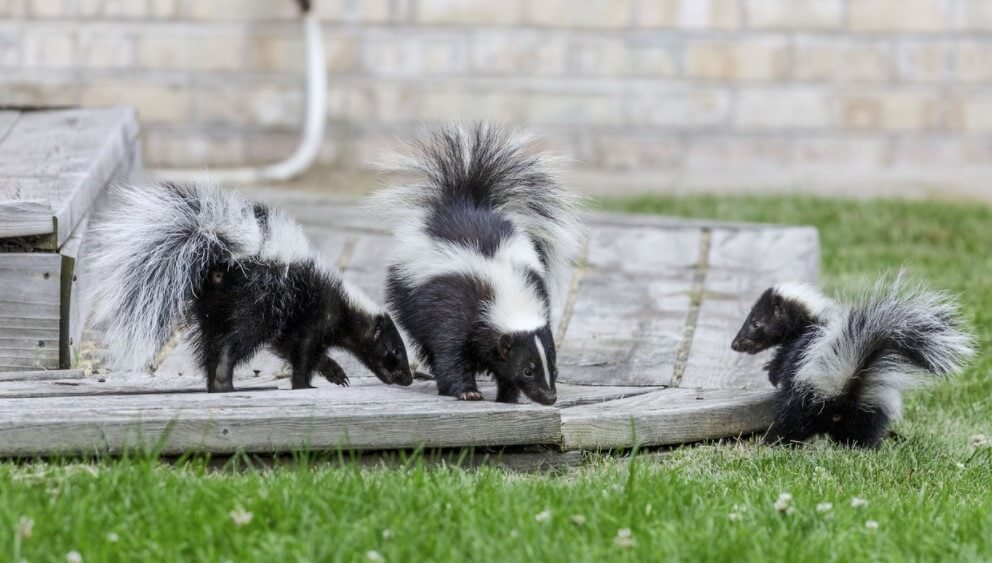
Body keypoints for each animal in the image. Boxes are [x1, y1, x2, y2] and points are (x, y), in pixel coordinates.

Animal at [85, 181, 410, 392]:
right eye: (394, 352)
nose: (407, 378)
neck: (344, 304)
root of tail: (223, 262)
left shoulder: (291, 325)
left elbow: (292, 347)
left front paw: (335, 372)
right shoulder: (314, 316)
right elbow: (305, 352)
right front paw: (304, 385)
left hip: (213, 308)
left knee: (211, 345)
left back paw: (214, 385)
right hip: (256, 301)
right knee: (234, 341)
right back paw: (224, 381)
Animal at [376, 124, 584, 406]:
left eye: (553, 368)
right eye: (528, 370)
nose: (549, 397)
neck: (504, 286)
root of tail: (465, 200)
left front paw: (507, 397)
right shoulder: (455, 309)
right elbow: (450, 352)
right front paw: (467, 391)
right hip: (407, 292)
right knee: (424, 341)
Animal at [732, 278, 972, 450]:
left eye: (756, 323)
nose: (735, 344)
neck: (810, 319)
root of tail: (844, 389)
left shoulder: (797, 346)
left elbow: (782, 365)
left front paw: (772, 374)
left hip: (801, 401)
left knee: (790, 423)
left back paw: (772, 442)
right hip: (870, 409)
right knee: (859, 434)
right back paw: (858, 448)